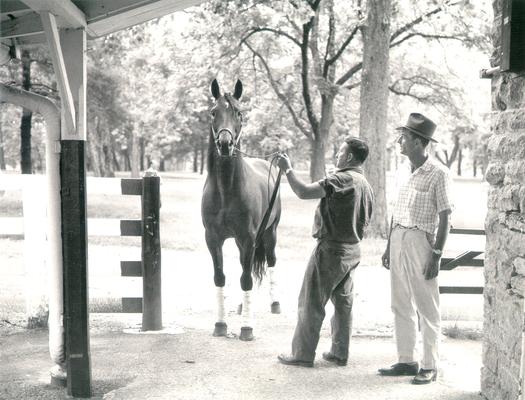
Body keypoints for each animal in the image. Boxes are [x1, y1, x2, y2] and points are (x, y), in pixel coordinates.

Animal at [202, 78, 282, 340]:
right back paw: (240, 306)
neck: (227, 191)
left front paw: (247, 328)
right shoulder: (213, 238)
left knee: (270, 261)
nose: (225, 144)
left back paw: (274, 304)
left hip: (269, 234)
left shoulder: (248, 238)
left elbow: (246, 279)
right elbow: (220, 277)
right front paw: (220, 325)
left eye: (239, 112)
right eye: (213, 112)